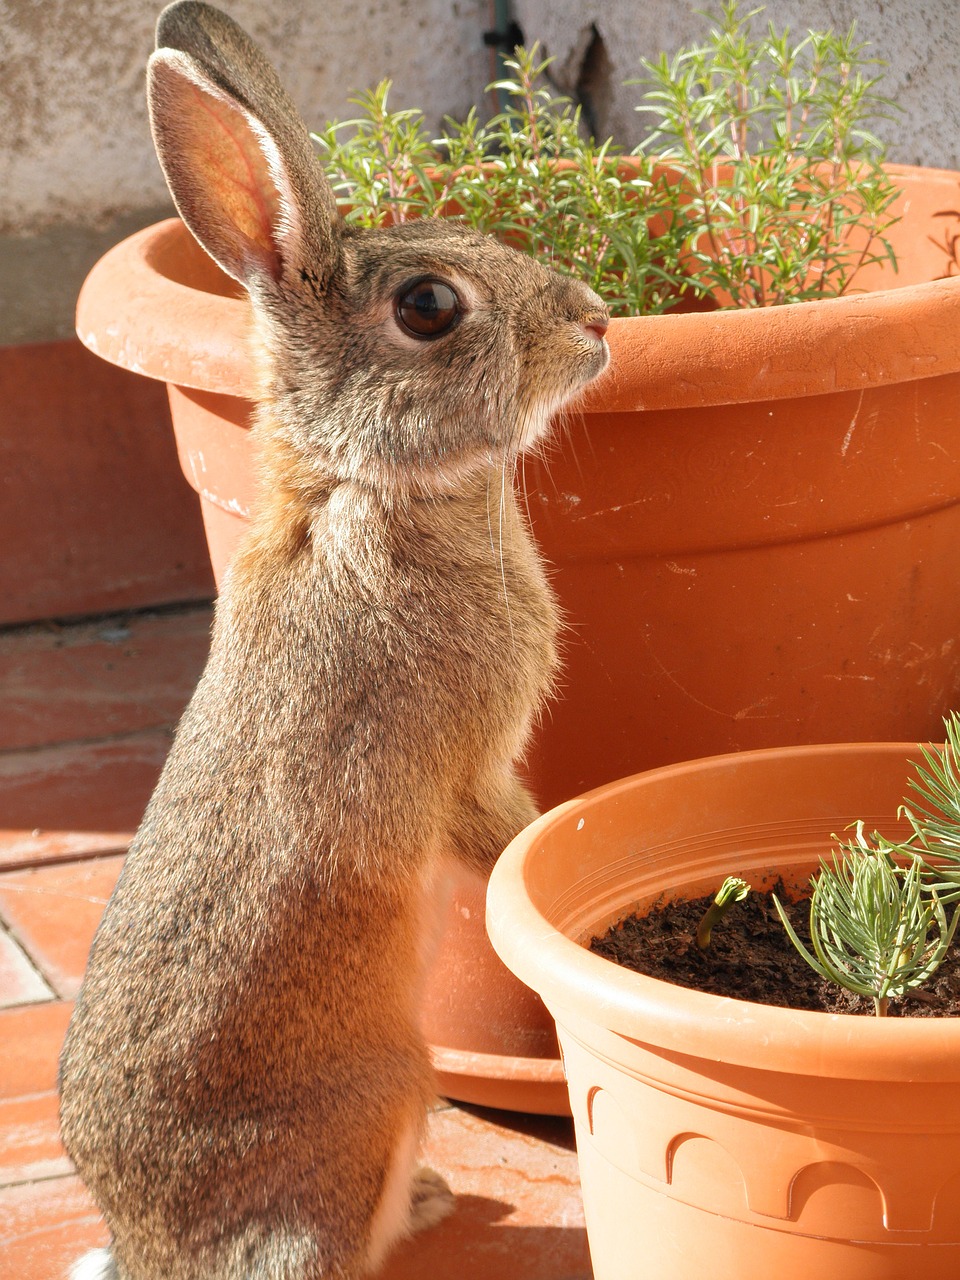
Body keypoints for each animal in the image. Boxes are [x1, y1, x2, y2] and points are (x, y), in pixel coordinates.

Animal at [58, 2, 609, 1280]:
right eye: (429, 308)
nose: (596, 320)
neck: (368, 487)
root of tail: (153, 1250)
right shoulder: (463, 764)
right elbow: (505, 835)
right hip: (377, 1104)